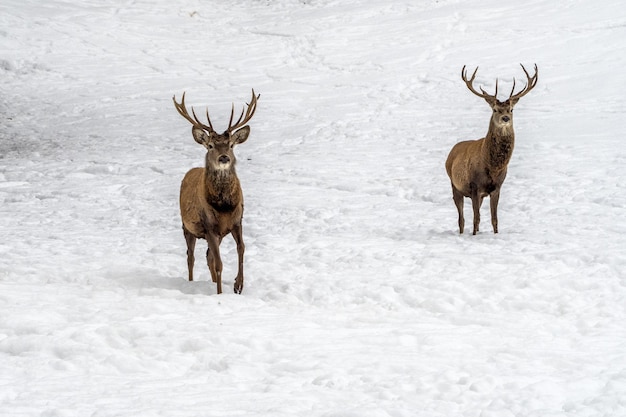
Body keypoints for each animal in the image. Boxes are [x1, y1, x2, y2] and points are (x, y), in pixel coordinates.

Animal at [171, 90, 258, 292]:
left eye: (231, 145)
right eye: (210, 146)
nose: (224, 157)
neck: (224, 206)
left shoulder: (237, 221)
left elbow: (242, 248)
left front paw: (238, 284)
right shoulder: (209, 225)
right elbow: (219, 264)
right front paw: (220, 293)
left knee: (208, 256)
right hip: (187, 226)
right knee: (191, 257)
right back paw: (192, 283)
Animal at [444, 64, 536, 234]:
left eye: (511, 109)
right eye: (495, 110)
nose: (505, 118)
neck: (492, 166)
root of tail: (451, 152)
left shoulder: (497, 187)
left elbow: (494, 219)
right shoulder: (474, 186)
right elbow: (476, 219)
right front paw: (474, 235)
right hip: (455, 185)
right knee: (461, 219)